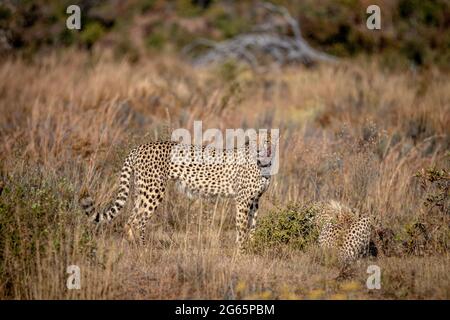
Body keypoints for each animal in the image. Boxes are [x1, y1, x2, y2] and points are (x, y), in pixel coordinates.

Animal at [79, 131, 276, 251]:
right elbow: (242, 227)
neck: (263, 163)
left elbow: (252, 225)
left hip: (141, 191)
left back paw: (133, 245)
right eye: (254, 142)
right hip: (153, 190)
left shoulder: (255, 200)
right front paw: (241, 252)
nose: (260, 149)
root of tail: (140, 146)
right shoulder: (242, 200)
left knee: (130, 219)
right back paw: (144, 249)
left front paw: (251, 248)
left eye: (266, 141)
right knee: (139, 220)